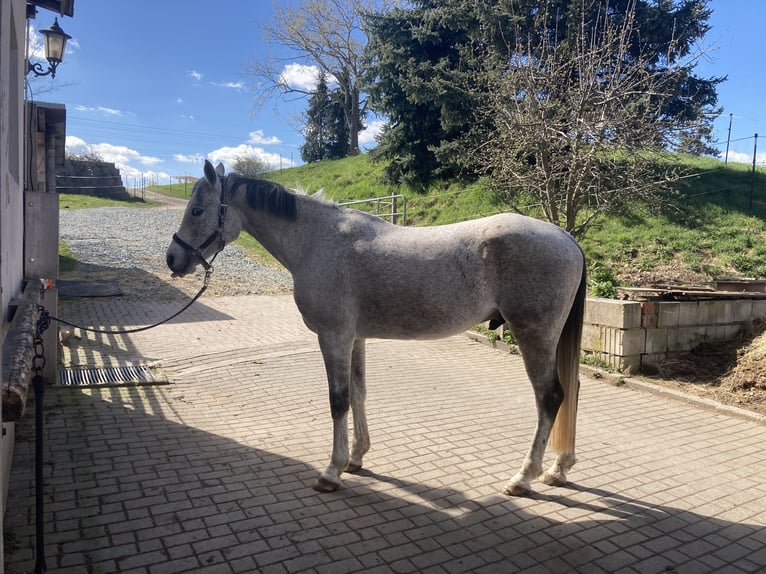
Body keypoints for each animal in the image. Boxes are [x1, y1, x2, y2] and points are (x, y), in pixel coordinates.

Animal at [170, 162, 588, 500]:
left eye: (197, 209)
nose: (173, 259)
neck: (318, 241)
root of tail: (566, 238)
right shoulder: (355, 338)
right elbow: (359, 393)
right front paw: (355, 458)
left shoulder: (333, 337)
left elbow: (338, 399)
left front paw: (331, 471)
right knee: (570, 391)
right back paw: (558, 469)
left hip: (534, 337)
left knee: (550, 397)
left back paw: (523, 477)